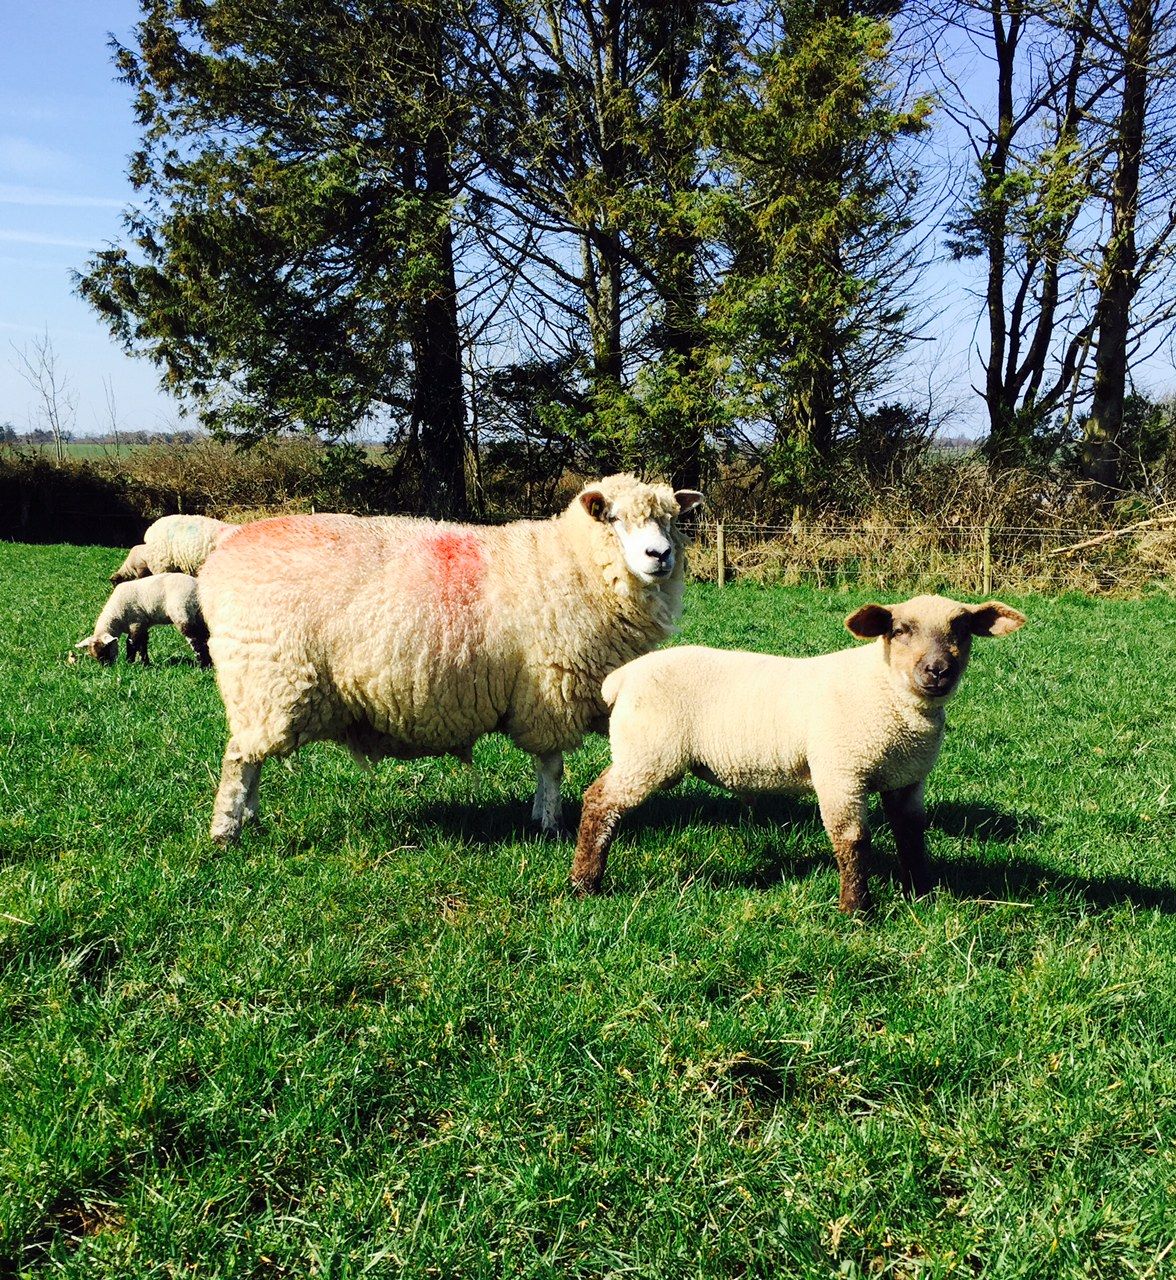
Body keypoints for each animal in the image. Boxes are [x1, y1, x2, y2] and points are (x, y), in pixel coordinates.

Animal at [76, 573, 212, 668]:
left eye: (105, 651)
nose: (107, 668)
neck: (116, 616)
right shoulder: (143, 624)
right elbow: (143, 644)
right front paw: (145, 663)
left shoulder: (136, 622)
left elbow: (132, 643)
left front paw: (130, 662)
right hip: (199, 616)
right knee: (205, 637)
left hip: (183, 613)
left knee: (195, 640)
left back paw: (203, 666)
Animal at [198, 474, 704, 843]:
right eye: (613, 518)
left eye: (673, 520)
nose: (660, 555)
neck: (574, 564)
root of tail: (228, 543)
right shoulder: (550, 688)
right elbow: (552, 765)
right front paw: (550, 823)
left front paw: (539, 817)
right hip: (266, 680)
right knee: (240, 759)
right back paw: (225, 832)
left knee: (251, 757)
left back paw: (248, 818)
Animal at [570, 594, 1026, 914]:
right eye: (899, 630)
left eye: (962, 629)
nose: (937, 670)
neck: (887, 691)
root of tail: (621, 678)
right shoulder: (840, 772)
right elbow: (853, 840)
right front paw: (856, 910)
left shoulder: (907, 779)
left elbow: (912, 835)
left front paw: (921, 893)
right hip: (648, 753)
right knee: (599, 802)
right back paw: (584, 883)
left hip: (643, 754)